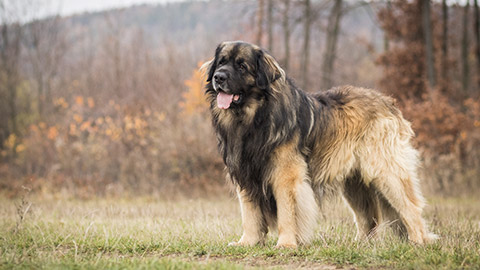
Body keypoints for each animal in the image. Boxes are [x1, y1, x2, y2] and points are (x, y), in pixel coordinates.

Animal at [204, 40, 436, 249]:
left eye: (242, 66)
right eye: (221, 62)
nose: (219, 77)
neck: (254, 118)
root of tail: (389, 102)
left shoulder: (286, 177)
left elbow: (287, 212)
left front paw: (286, 244)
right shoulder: (245, 175)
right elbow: (250, 215)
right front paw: (247, 243)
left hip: (386, 173)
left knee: (410, 207)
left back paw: (418, 241)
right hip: (355, 184)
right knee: (368, 217)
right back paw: (361, 244)